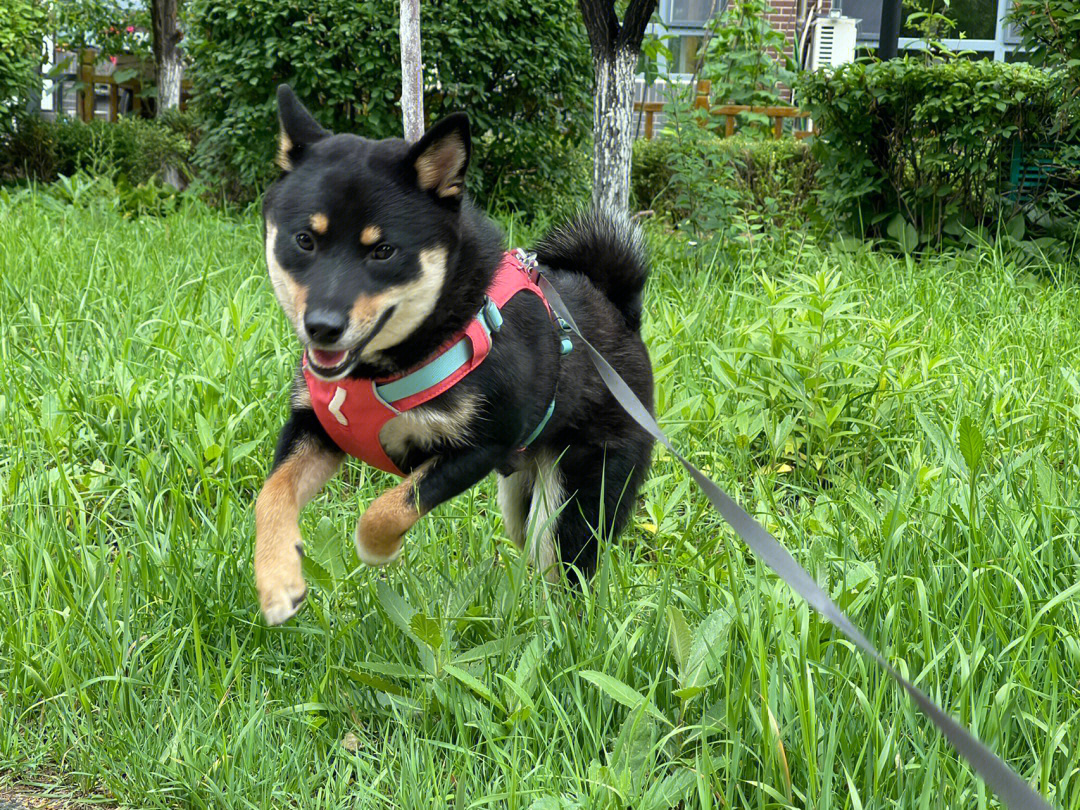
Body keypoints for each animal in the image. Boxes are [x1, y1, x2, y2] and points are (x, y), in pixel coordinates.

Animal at [257, 85, 652, 626]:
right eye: (304, 240)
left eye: (383, 251)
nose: (322, 326)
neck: (383, 370)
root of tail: (622, 316)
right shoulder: (316, 430)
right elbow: (271, 495)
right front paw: (278, 581)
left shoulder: (481, 447)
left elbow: (388, 509)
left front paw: (375, 548)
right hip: (521, 498)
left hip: (575, 498)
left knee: (568, 575)